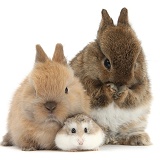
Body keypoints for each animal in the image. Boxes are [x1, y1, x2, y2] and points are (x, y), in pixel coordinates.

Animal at [70, 7, 152, 146]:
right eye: (107, 62)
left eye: (135, 64)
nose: (121, 83)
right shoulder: (86, 83)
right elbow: (98, 93)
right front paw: (109, 89)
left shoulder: (141, 87)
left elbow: (134, 96)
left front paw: (123, 93)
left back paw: (139, 139)